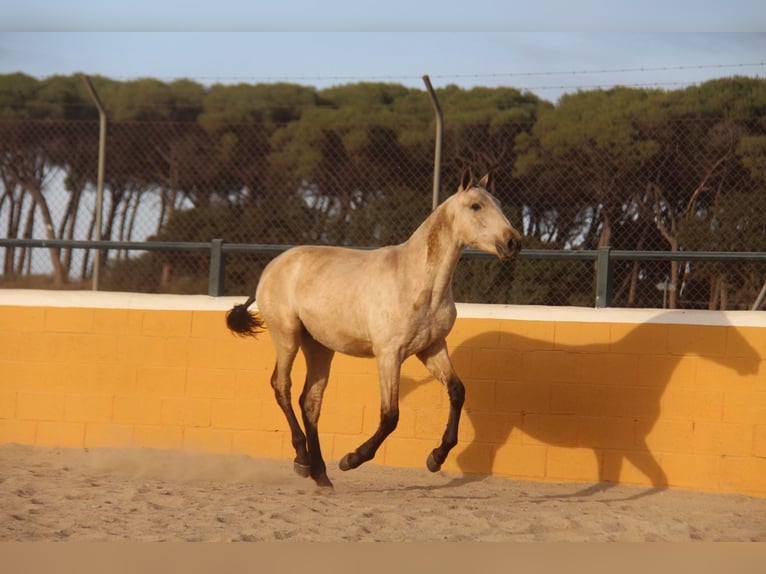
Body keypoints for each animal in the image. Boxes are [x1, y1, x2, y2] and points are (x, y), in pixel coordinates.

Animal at [226, 167, 523, 488]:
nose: (513, 242)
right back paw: (303, 461)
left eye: (499, 204)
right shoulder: (389, 354)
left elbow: (457, 391)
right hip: (287, 337)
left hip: (319, 347)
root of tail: (271, 268)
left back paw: (321, 475)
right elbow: (390, 415)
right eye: (476, 206)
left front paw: (435, 458)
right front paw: (351, 459)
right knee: (282, 387)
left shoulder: (432, 348)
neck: (418, 280)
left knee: (310, 402)